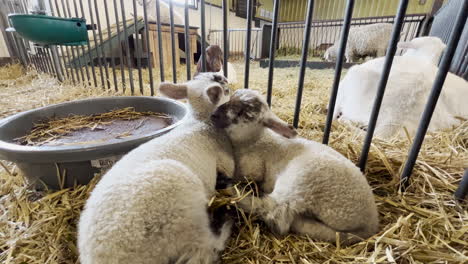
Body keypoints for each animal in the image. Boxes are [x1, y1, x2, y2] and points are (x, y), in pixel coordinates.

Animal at [79, 72, 238, 264]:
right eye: (226, 89)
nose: (225, 78)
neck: (201, 122)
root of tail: (102, 257)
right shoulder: (226, 161)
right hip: (181, 213)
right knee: (204, 249)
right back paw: (226, 218)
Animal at [210, 89, 378, 245]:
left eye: (243, 113)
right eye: (230, 98)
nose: (213, 115)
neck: (255, 140)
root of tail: (368, 226)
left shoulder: (252, 168)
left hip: (303, 180)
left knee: (275, 213)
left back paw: (228, 189)